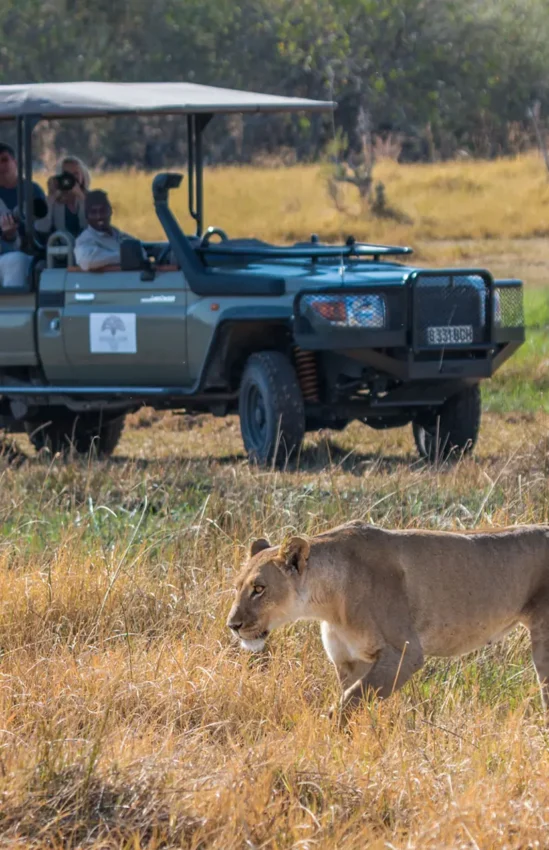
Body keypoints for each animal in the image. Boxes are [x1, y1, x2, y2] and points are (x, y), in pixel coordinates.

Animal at [227, 521, 549, 718]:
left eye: (259, 589)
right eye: (237, 586)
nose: (233, 625)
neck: (329, 603)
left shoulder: (405, 652)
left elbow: (354, 699)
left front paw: (328, 725)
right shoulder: (350, 661)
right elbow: (356, 700)